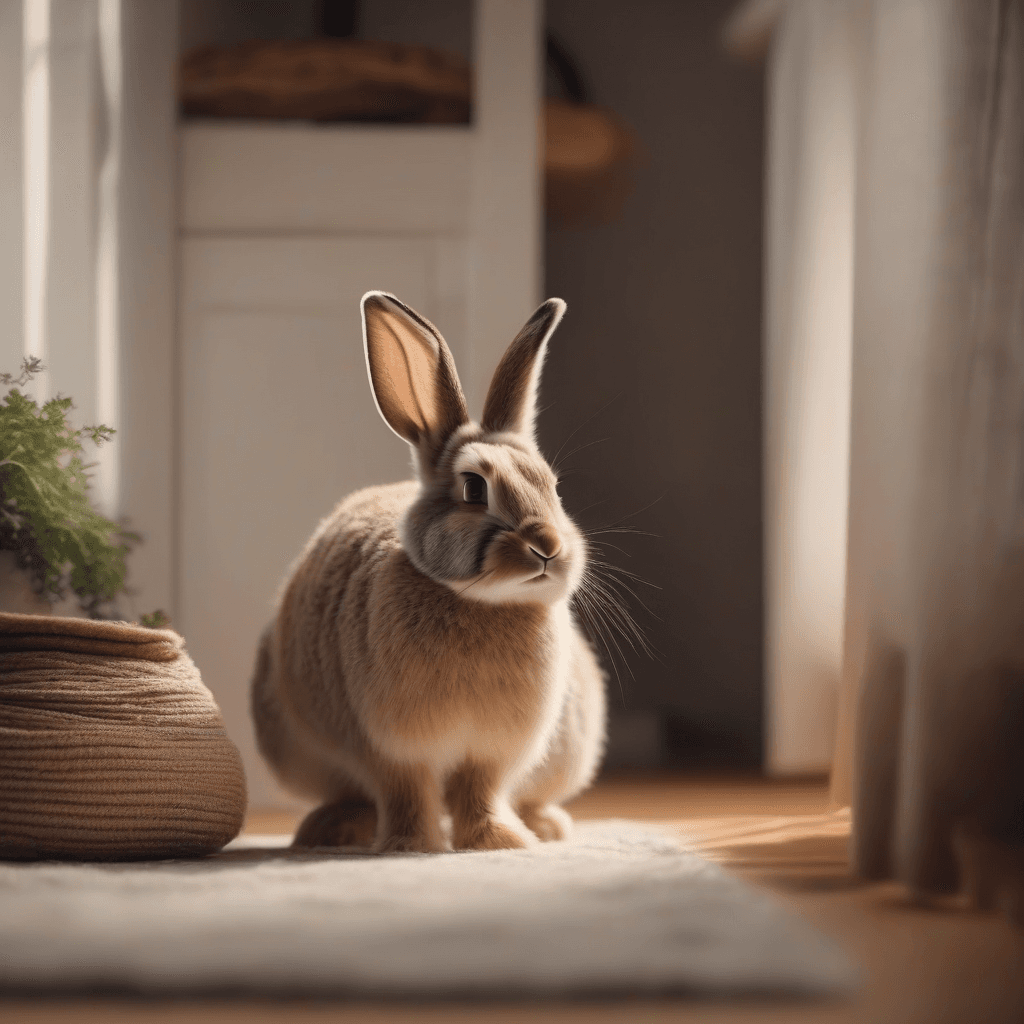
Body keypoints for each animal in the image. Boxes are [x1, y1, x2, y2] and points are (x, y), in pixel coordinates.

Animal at [251, 291, 607, 853]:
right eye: (474, 488)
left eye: (553, 487)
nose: (548, 547)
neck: (478, 601)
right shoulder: (390, 747)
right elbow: (405, 791)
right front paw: (411, 847)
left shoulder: (491, 751)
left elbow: (481, 791)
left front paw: (500, 842)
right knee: (351, 794)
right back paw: (336, 831)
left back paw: (548, 827)